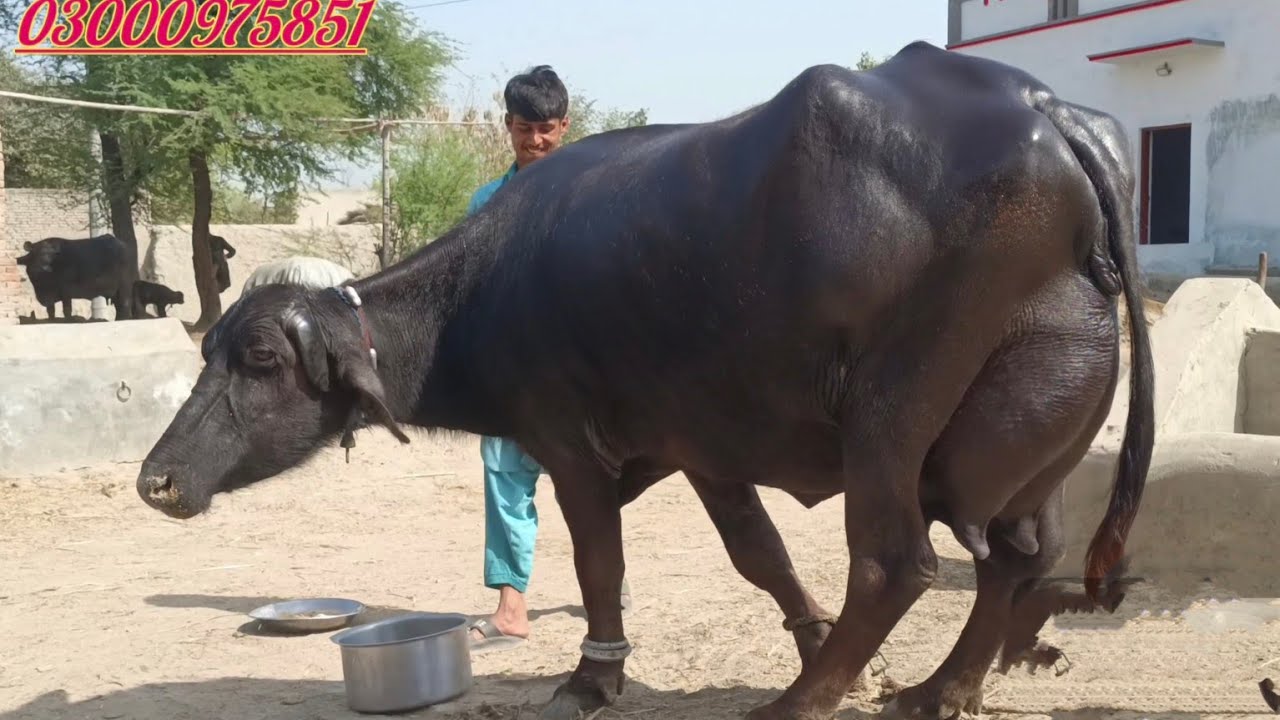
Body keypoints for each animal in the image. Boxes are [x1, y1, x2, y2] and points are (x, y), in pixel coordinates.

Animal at [136, 42, 1153, 720]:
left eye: (262, 360)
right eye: (208, 351)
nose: (158, 480)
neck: (486, 291)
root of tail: (1046, 109)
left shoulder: (571, 447)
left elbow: (600, 563)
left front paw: (594, 675)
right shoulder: (703, 447)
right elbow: (759, 555)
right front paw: (817, 643)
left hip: (891, 411)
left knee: (898, 560)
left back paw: (800, 702)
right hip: (1037, 414)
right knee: (1017, 553)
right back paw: (939, 688)